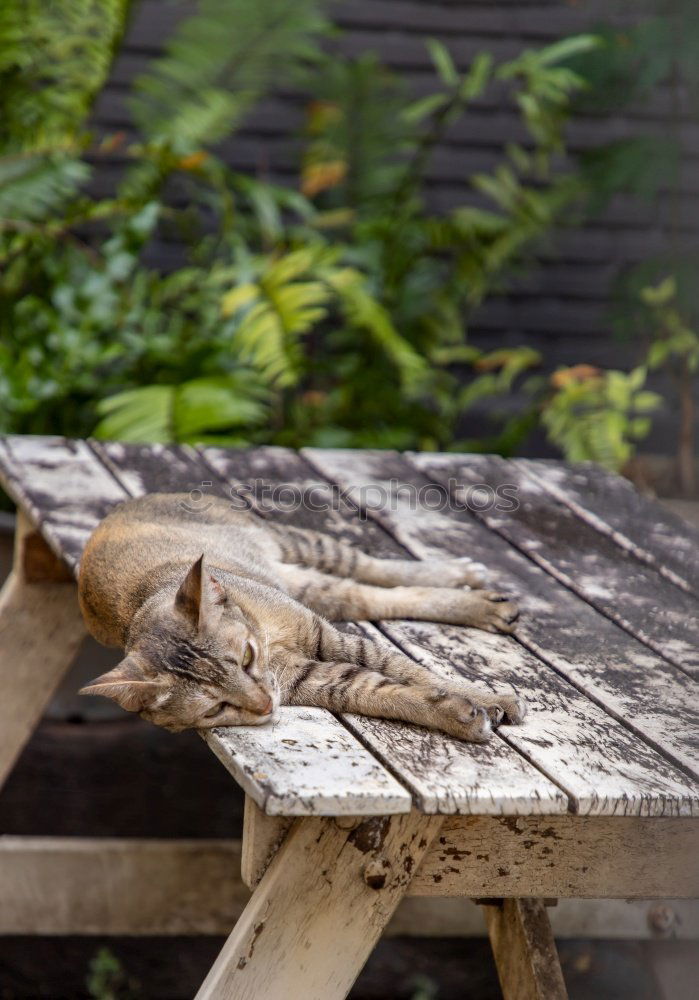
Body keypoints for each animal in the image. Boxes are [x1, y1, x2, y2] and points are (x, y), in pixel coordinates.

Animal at [78, 494, 524, 744]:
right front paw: (460, 714)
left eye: (246, 658)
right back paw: (484, 603)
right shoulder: (318, 679)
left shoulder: (331, 638)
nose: (264, 705)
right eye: (215, 709)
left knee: (373, 570)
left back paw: (466, 580)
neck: (265, 634)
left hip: (302, 546)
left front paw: (491, 698)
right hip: (315, 587)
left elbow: (416, 672)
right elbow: (388, 692)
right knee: (373, 596)